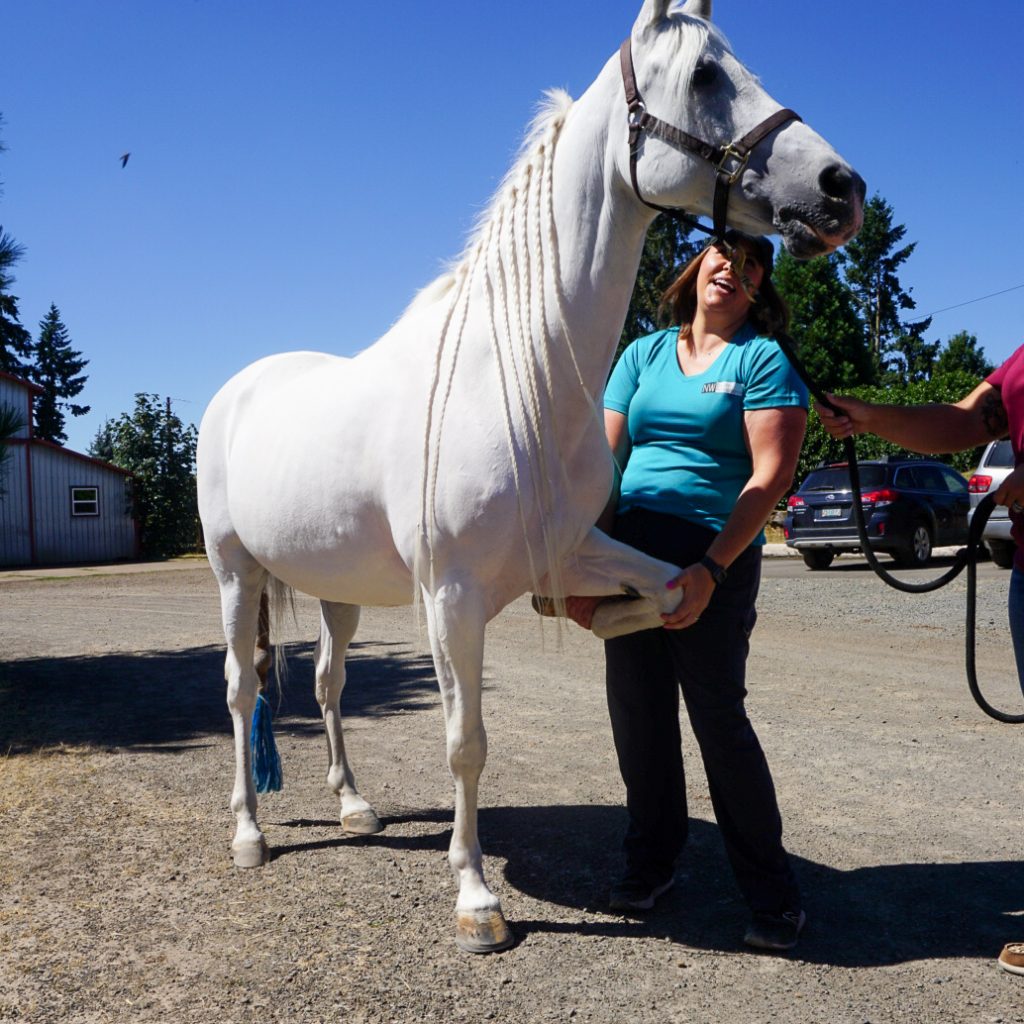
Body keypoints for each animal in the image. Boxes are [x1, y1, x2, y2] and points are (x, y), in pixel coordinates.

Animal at [197, 0, 864, 954]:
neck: (513, 374)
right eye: (705, 74)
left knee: (326, 684)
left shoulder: (576, 547)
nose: (841, 189)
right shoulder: (453, 597)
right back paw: (249, 834)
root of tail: (238, 388)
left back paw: (355, 805)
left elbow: (668, 590)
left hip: (336, 588)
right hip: (234, 572)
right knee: (241, 688)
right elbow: (465, 742)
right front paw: (477, 900)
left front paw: (609, 615)